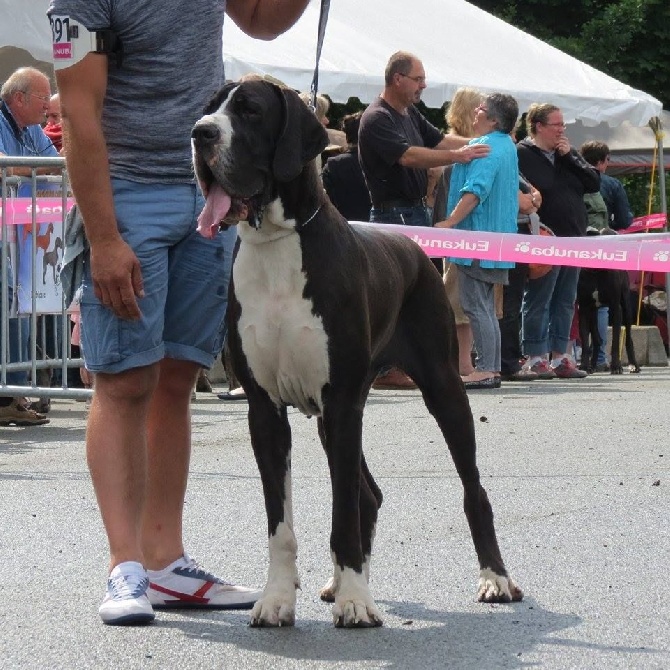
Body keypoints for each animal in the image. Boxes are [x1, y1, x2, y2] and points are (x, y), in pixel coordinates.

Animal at [192, 80, 524, 632]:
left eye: (250, 111)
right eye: (208, 108)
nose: (200, 134)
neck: (277, 241)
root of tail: (413, 246)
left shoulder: (343, 403)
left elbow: (341, 511)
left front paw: (355, 602)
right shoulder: (266, 410)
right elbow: (280, 523)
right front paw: (278, 599)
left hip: (441, 389)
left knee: (471, 490)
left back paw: (495, 579)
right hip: (334, 418)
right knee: (370, 494)